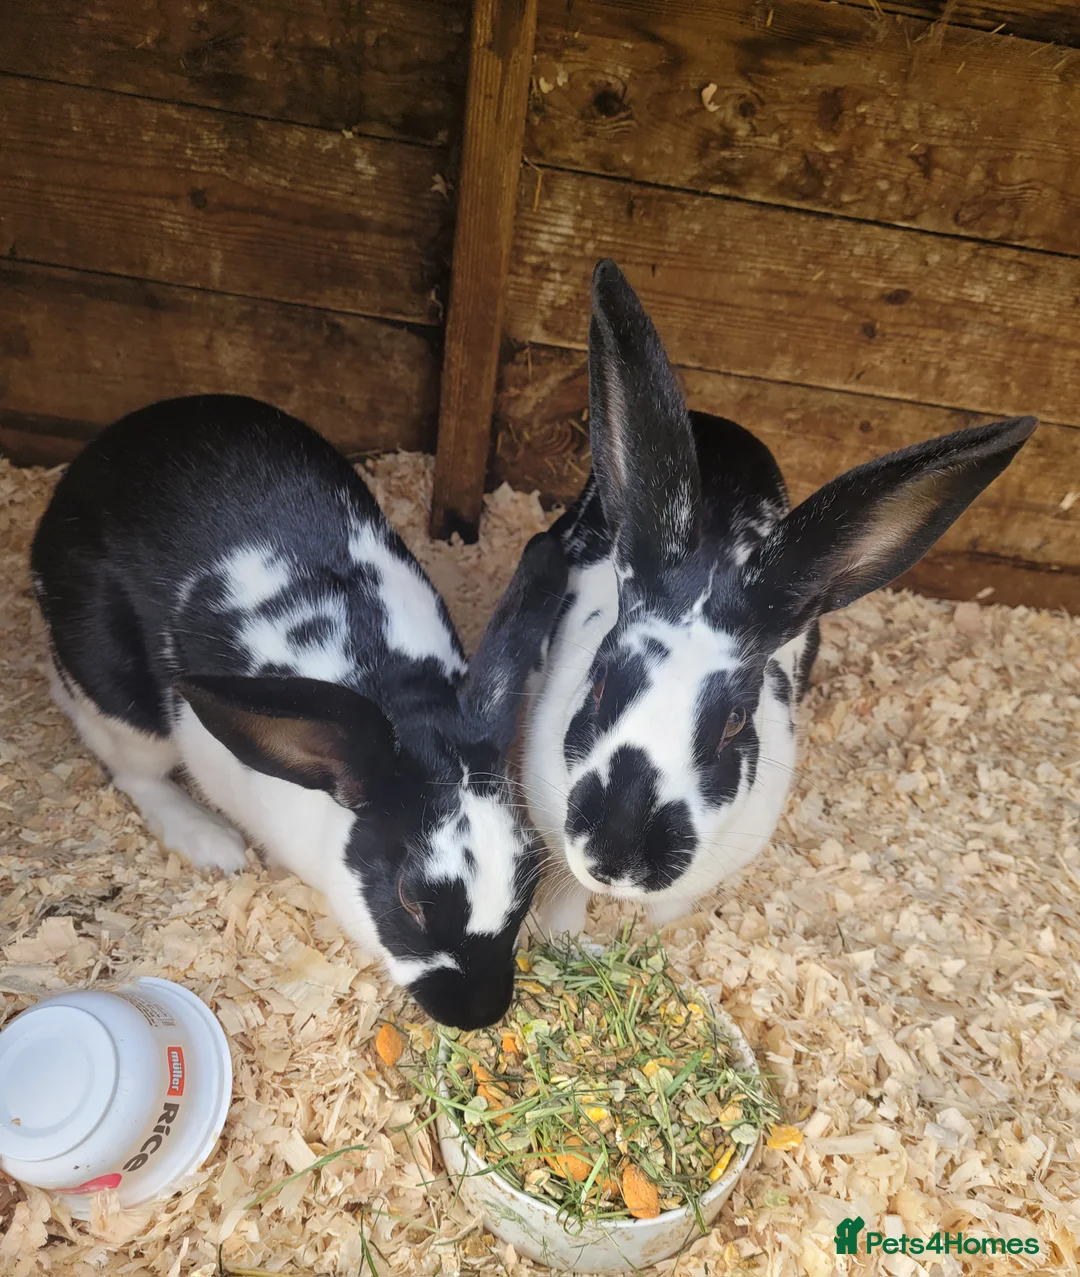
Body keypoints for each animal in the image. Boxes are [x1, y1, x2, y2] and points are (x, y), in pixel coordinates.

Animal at [30, 395, 568, 1029]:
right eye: (411, 901)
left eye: (529, 878)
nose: (477, 1013)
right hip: (123, 699)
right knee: (130, 767)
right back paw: (212, 843)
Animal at [523, 259, 1036, 938]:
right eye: (602, 683)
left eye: (734, 723)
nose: (618, 859)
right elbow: (563, 897)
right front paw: (563, 937)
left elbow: (667, 915)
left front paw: (652, 939)